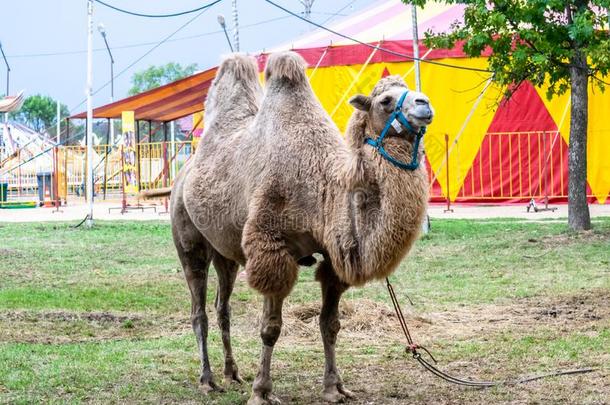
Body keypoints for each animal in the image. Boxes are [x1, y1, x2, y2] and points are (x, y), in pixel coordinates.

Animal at [166, 52, 432, 402]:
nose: (425, 104)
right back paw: (207, 379)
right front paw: (262, 391)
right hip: (188, 239)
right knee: (199, 309)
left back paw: (232, 373)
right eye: (385, 100)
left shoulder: (333, 257)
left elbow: (330, 324)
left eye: (412, 88)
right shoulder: (271, 248)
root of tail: (184, 173)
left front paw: (335, 387)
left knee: (223, 306)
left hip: (225, 250)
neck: (323, 189)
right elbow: (270, 328)